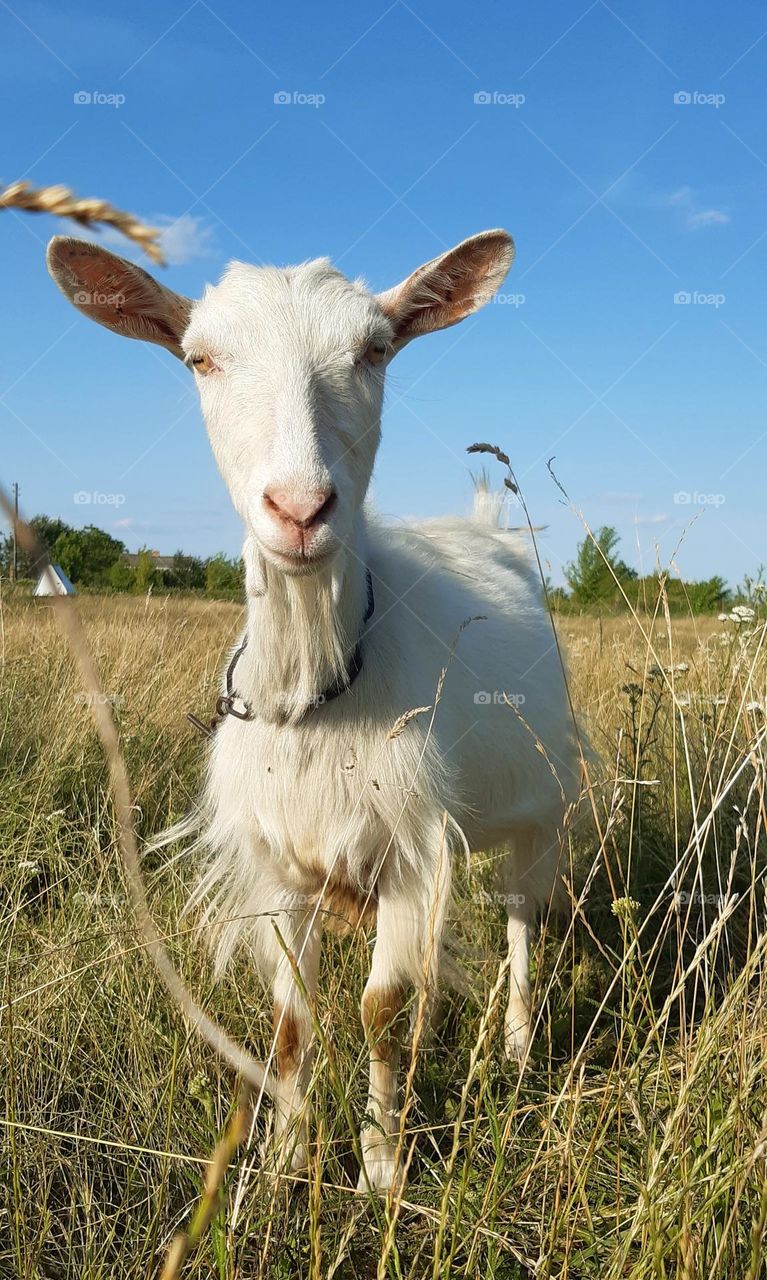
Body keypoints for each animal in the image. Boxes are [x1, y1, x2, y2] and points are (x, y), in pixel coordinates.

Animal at [48, 227, 578, 1187]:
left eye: (375, 350)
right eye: (200, 358)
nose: (299, 508)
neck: (318, 692)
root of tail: (481, 528)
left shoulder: (411, 849)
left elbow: (381, 1011)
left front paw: (381, 1173)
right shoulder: (276, 866)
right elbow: (292, 1019)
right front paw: (285, 1162)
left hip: (539, 807)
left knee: (523, 917)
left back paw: (519, 1047)